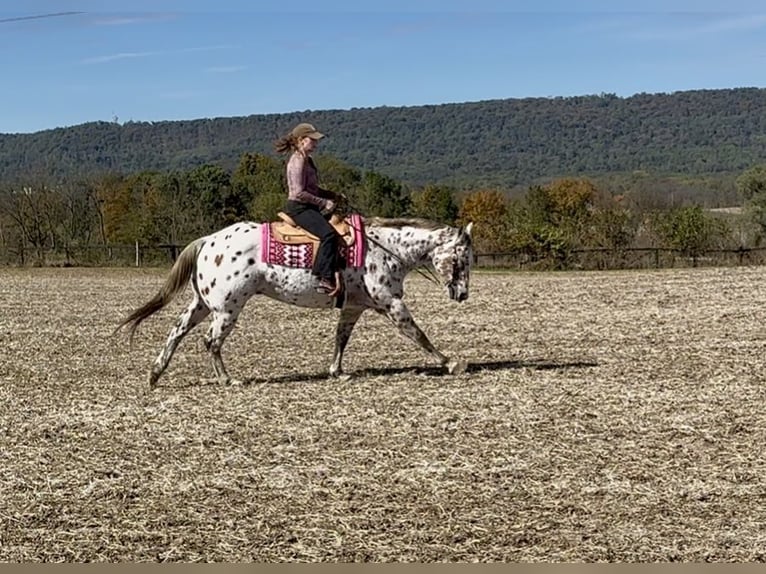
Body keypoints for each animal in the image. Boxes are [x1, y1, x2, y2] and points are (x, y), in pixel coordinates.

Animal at [116, 215, 474, 388]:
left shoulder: (354, 306)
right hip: (227, 309)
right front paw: (451, 363)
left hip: (202, 304)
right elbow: (418, 334)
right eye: (462, 258)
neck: (383, 247)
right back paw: (227, 379)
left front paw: (336, 371)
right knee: (210, 341)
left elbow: (341, 338)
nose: (462, 294)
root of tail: (208, 240)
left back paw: (154, 375)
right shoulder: (391, 303)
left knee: (176, 333)